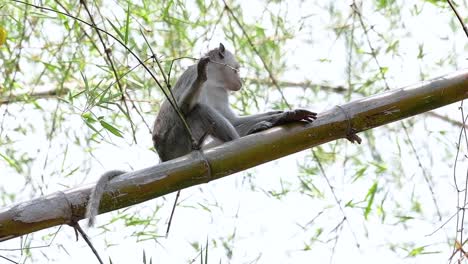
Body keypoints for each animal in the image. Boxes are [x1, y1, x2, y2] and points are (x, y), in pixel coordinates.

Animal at [85, 43, 318, 227]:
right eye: (237, 70)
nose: (241, 81)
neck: (215, 81)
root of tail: (164, 157)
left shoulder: (220, 91)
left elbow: (234, 121)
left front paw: (286, 115)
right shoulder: (192, 78)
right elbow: (182, 107)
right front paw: (201, 75)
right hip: (178, 142)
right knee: (198, 110)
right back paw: (241, 139)